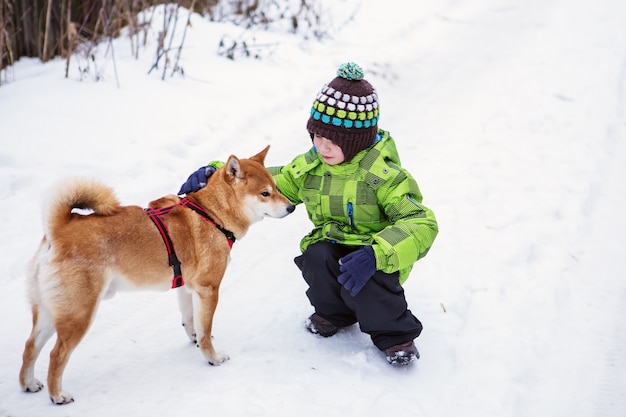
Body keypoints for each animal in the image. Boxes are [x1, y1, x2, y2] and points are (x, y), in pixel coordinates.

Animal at [17, 145, 294, 402]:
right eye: (265, 193)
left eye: (275, 186)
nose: (291, 207)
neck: (212, 214)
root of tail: (58, 230)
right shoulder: (208, 289)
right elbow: (205, 331)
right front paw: (212, 357)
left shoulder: (187, 287)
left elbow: (191, 321)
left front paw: (194, 338)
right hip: (79, 313)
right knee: (56, 354)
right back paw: (57, 395)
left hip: (51, 311)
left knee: (30, 346)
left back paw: (29, 384)